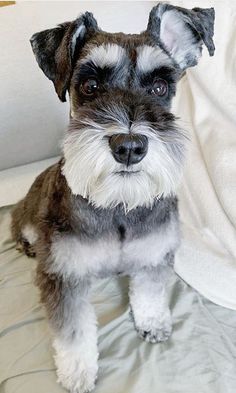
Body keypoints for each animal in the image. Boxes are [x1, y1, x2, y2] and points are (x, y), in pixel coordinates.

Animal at [10, 3, 214, 392]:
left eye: (160, 87)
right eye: (90, 86)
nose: (130, 147)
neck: (119, 206)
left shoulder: (153, 253)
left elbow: (149, 292)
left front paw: (152, 322)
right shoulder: (64, 276)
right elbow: (73, 331)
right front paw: (77, 372)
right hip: (27, 218)